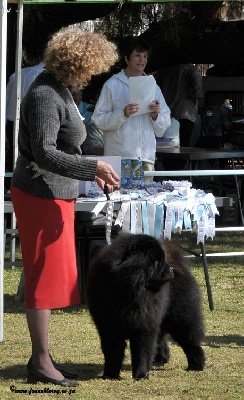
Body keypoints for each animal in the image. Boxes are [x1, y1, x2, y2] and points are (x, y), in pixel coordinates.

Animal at [86, 231, 206, 378]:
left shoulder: (143, 325)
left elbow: (142, 351)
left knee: (190, 341)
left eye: (162, 260)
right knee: (161, 340)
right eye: (157, 261)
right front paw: (110, 375)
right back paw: (159, 360)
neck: (129, 291)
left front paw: (141, 374)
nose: (171, 269)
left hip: (180, 318)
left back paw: (195, 365)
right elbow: (112, 352)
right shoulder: (109, 326)